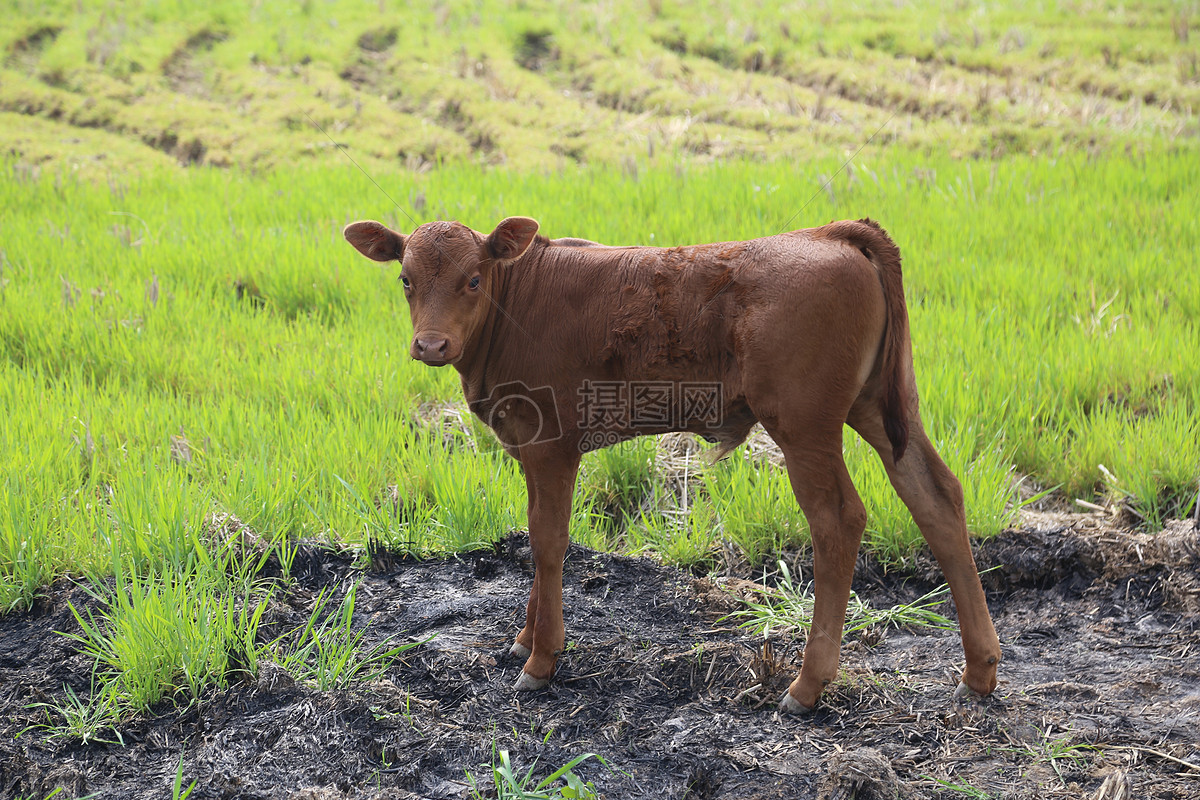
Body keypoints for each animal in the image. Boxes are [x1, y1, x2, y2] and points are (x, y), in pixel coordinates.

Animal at [348, 214, 1003, 714]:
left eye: (474, 279)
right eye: (405, 279)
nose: (432, 345)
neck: (518, 303)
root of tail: (828, 232)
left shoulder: (552, 445)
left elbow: (548, 541)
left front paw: (541, 659)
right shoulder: (531, 449)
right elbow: (537, 537)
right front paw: (524, 638)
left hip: (804, 425)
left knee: (837, 520)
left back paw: (807, 685)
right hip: (884, 406)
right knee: (936, 495)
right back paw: (979, 671)